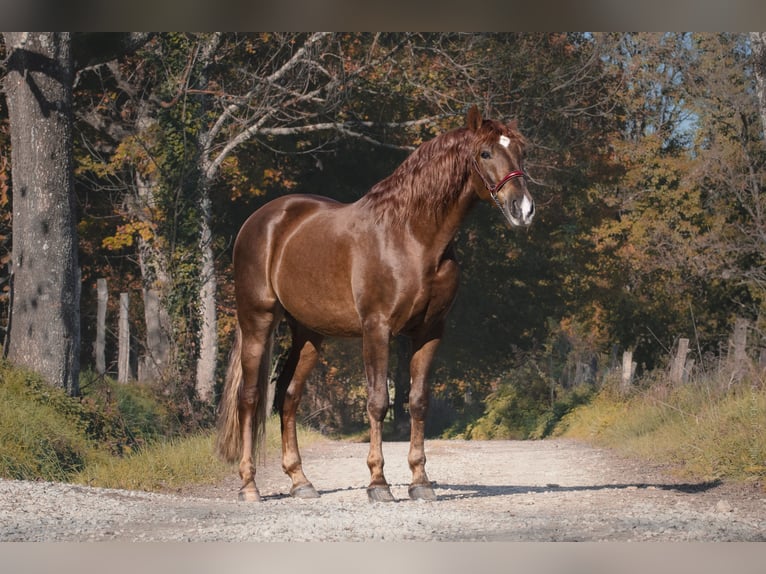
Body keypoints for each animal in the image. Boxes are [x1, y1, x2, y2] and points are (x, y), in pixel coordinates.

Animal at [216, 104, 536, 504]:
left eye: (522, 152)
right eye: (486, 153)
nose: (523, 209)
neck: (411, 237)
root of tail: (261, 220)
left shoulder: (429, 331)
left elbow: (417, 401)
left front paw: (420, 482)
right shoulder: (377, 328)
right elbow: (378, 401)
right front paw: (378, 484)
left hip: (308, 334)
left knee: (289, 397)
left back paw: (301, 482)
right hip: (257, 319)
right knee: (249, 397)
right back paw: (249, 486)